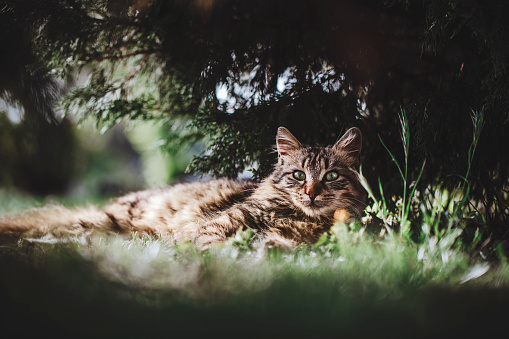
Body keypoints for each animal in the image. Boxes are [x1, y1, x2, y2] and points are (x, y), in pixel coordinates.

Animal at [0, 127, 366, 250]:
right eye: (298, 175)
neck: (298, 217)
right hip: (102, 222)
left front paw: (270, 250)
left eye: (331, 176)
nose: (312, 193)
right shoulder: (219, 224)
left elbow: (281, 246)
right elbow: (213, 243)